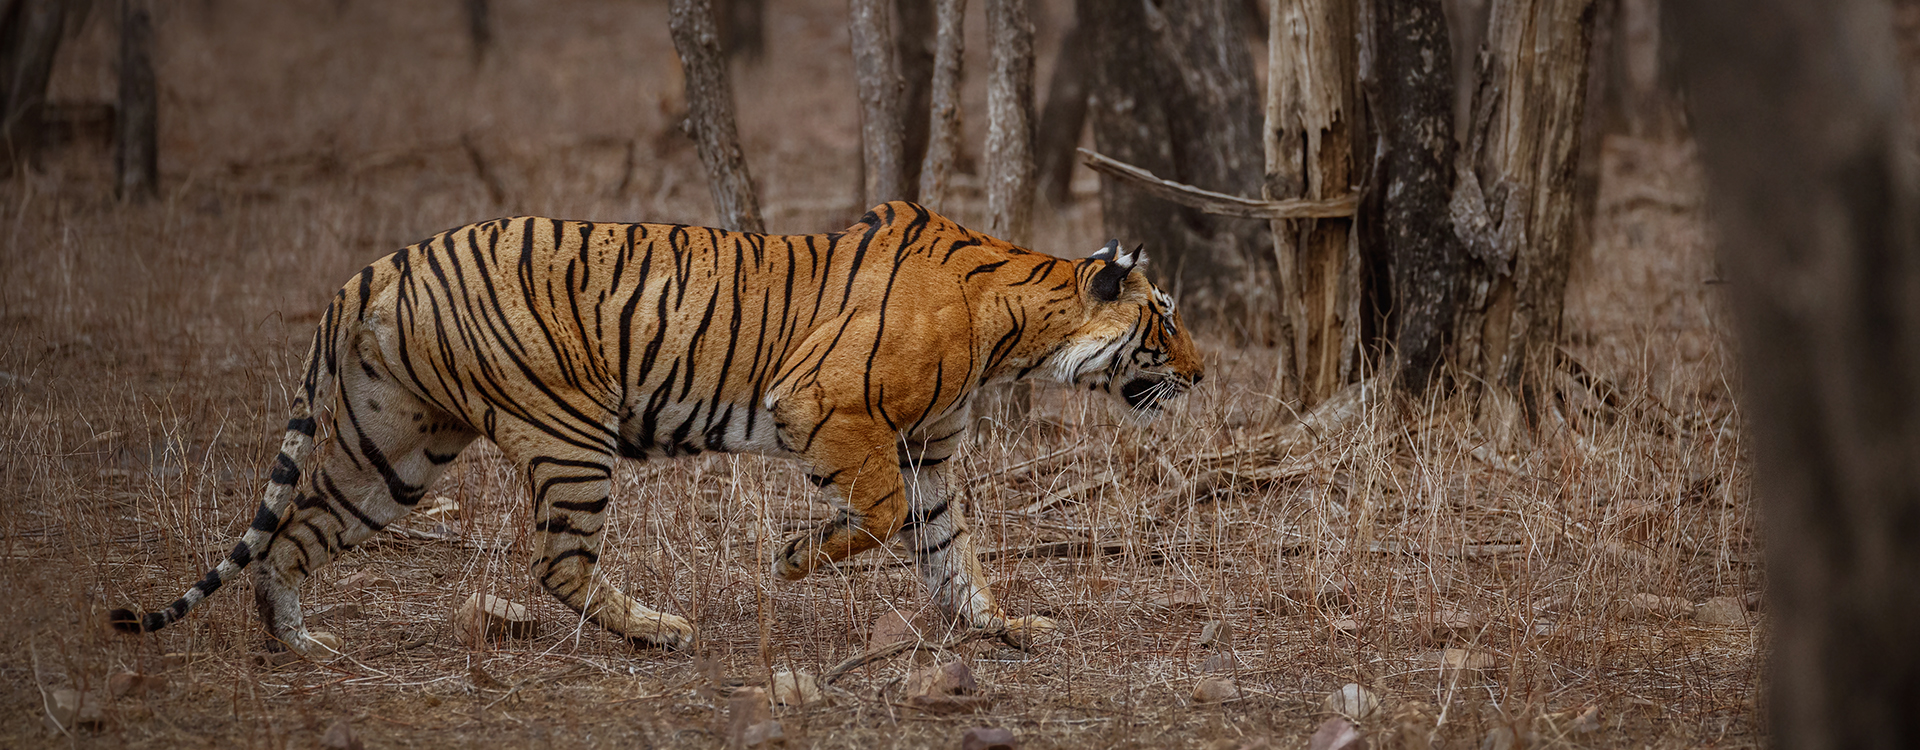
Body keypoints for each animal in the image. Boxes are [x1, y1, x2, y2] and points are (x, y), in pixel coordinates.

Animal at [109, 200, 1204, 659]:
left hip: (399, 447)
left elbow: (950, 552)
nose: (1201, 375)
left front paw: (1004, 627)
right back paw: (659, 633)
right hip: (566, 432)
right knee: (556, 564)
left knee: (290, 540)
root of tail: (374, 267)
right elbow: (885, 517)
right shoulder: (826, 407)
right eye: (1166, 321)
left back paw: (304, 645)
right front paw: (792, 559)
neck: (1018, 326)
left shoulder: (930, 450)